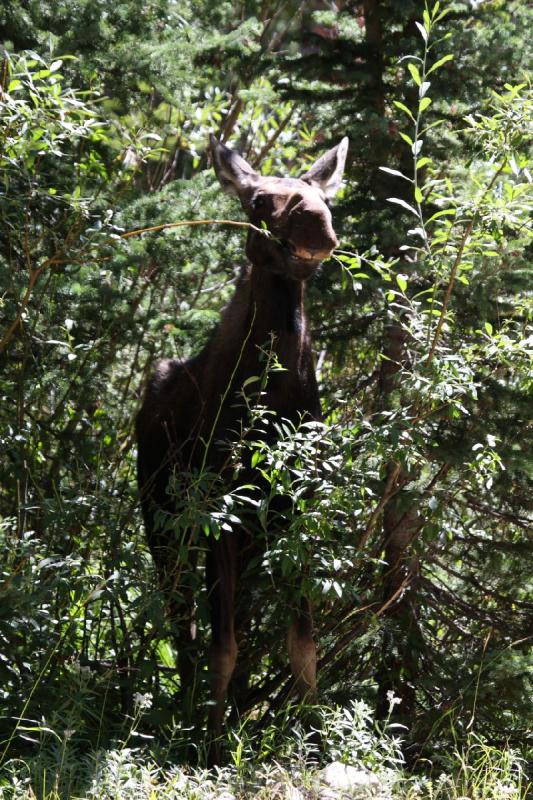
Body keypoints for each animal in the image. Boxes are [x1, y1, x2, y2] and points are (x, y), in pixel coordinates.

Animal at [135, 133, 348, 756]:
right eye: (257, 202)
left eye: (322, 195)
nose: (316, 223)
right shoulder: (219, 515)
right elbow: (221, 645)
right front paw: (210, 744)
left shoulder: (297, 510)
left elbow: (303, 644)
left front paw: (310, 732)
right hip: (163, 518)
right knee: (183, 620)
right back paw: (190, 715)